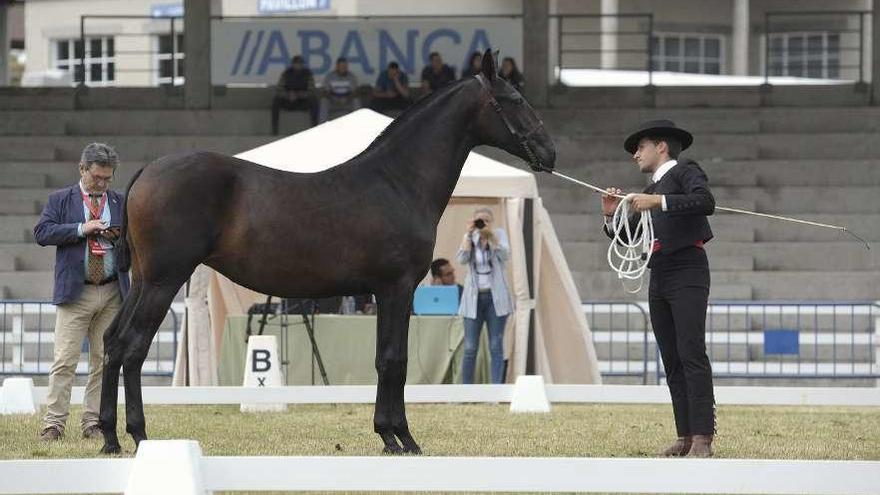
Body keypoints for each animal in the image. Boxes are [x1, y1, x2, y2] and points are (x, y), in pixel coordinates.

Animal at [99, 48, 552, 456]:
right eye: (514, 99)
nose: (550, 152)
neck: (398, 182)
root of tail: (147, 172)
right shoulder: (396, 288)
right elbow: (393, 359)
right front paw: (400, 438)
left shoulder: (387, 292)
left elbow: (388, 358)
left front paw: (389, 435)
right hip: (164, 281)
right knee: (134, 346)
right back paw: (139, 435)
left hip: (142, 281)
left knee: (113, 341)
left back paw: (109, 437)